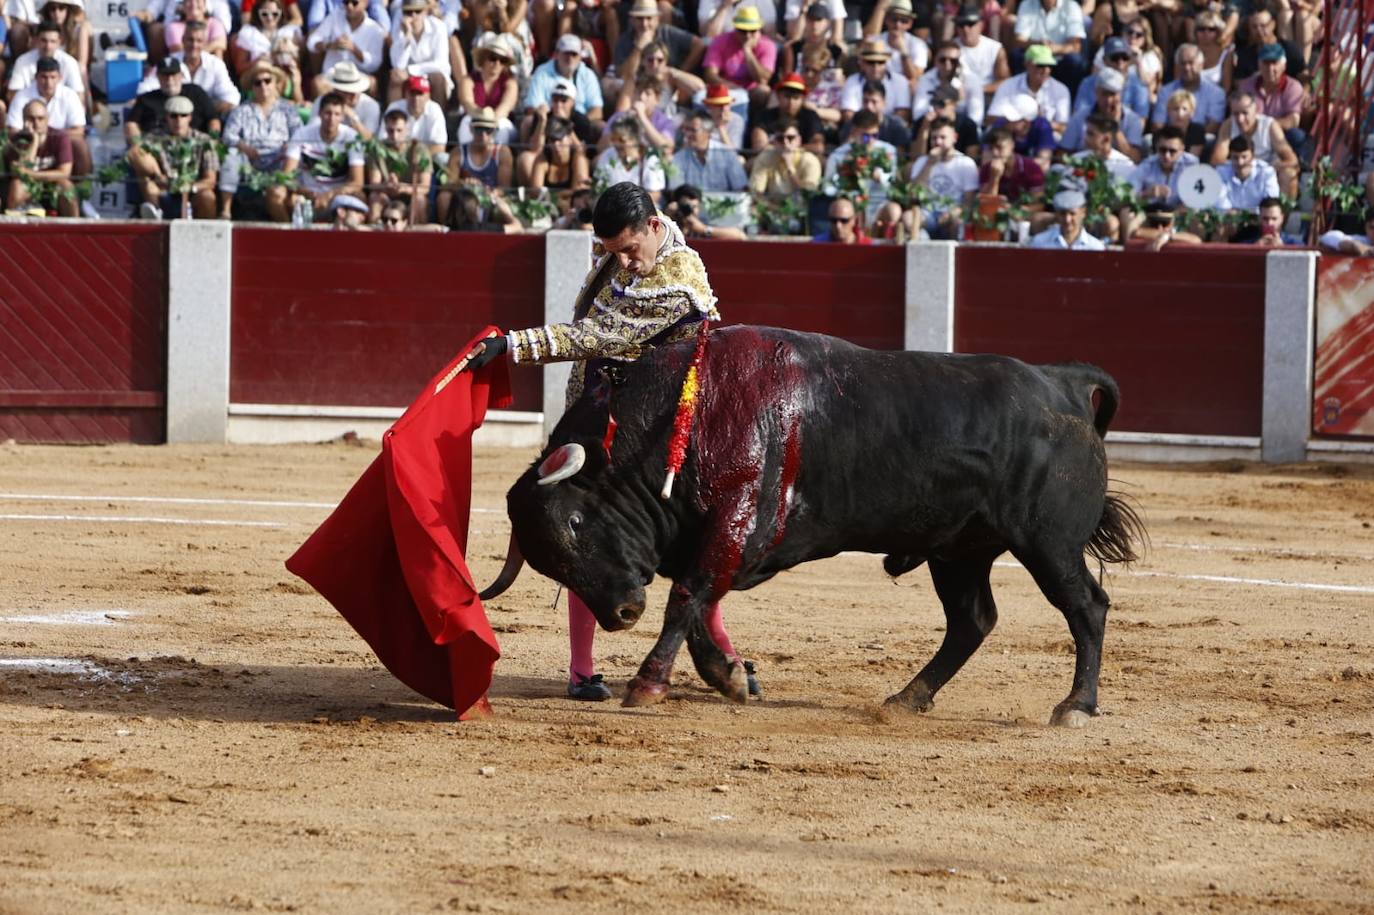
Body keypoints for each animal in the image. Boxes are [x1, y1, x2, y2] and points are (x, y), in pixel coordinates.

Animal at [478, 324, 1143, 725]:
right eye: (551, 564)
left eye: (576, 519)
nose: (621, 612)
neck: (681, 418)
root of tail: (1062, 383)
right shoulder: (721, 538)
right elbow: (698, 605)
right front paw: (729, 678)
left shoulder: (736, 520)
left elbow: (689, 596)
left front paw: (649, 684)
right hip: (958, 550)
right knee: (972, 620)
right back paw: (908, 698)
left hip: (1048, 544)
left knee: (1086, 607)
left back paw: (1076, 705)